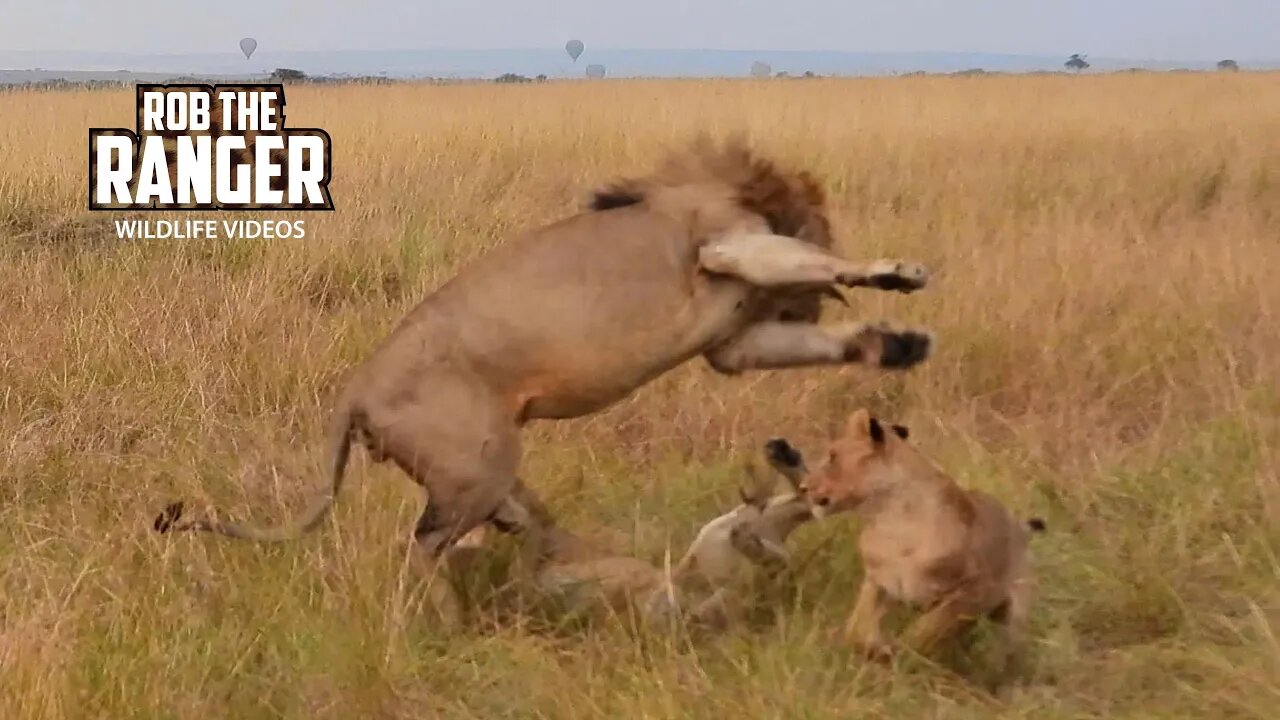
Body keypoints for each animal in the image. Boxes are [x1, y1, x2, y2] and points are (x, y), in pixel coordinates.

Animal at [773, 409, 1044, 661]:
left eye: (832, 456)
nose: (803, 487)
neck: (890, 520)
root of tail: (1020, 527)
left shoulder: (976, 588)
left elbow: (929, 628)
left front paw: (900, 652)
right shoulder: (879, 580)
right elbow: (858, 626)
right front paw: (872, 648)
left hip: (1013, 614)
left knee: (1006, 651)